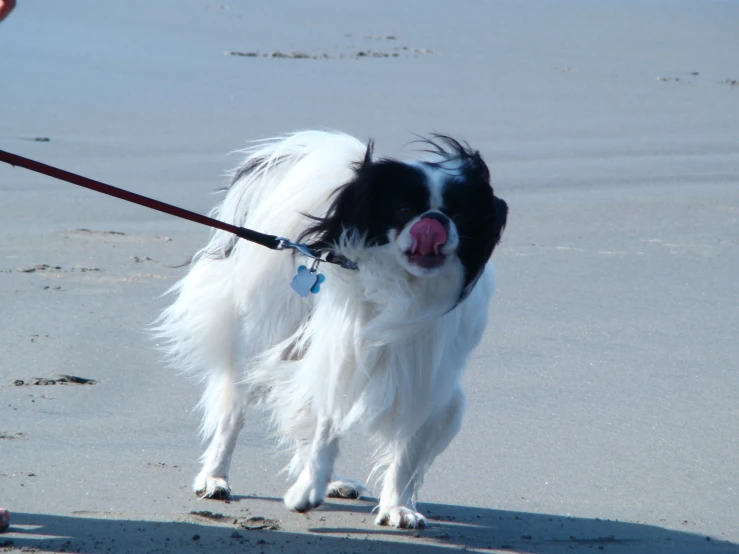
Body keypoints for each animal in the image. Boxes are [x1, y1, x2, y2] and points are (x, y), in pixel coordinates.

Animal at [156, 130, 508, 528]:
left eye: (460, 215)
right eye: (403, 210)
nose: (434, 220)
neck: (403, 288)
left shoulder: (427, 379)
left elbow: (407, 451)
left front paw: (397, 506)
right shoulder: (334, 357)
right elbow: (323, 427)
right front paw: (307, 490)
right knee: (233, 417)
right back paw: (215, 478)